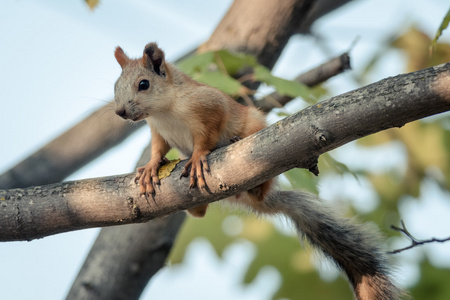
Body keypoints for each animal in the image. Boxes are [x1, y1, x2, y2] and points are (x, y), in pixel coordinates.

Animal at [114, 42, 402, 300]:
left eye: (143, 84)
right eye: (115, 86)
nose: (120, 111)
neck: (163, 112)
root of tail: (255, 199)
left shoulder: (208, 106)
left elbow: (207, 136)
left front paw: (196, 157)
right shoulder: (158, 131)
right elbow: (157, 150)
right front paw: (151, 167)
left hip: (256, 134)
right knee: (199, 213)